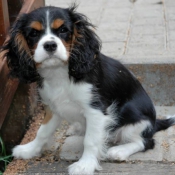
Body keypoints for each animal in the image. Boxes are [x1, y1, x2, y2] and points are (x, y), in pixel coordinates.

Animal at [1, 4, 175, 174]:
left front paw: (85, 165)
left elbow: (90, 141)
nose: (50, 45)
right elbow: (42, 131)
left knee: (146, 142)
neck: (59, 73)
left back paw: (119, 151)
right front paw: (29, 150)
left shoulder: (95, 110)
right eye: (34, 33)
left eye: (63, 30)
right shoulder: (52, 107)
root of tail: (154, 122)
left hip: (133, 117)